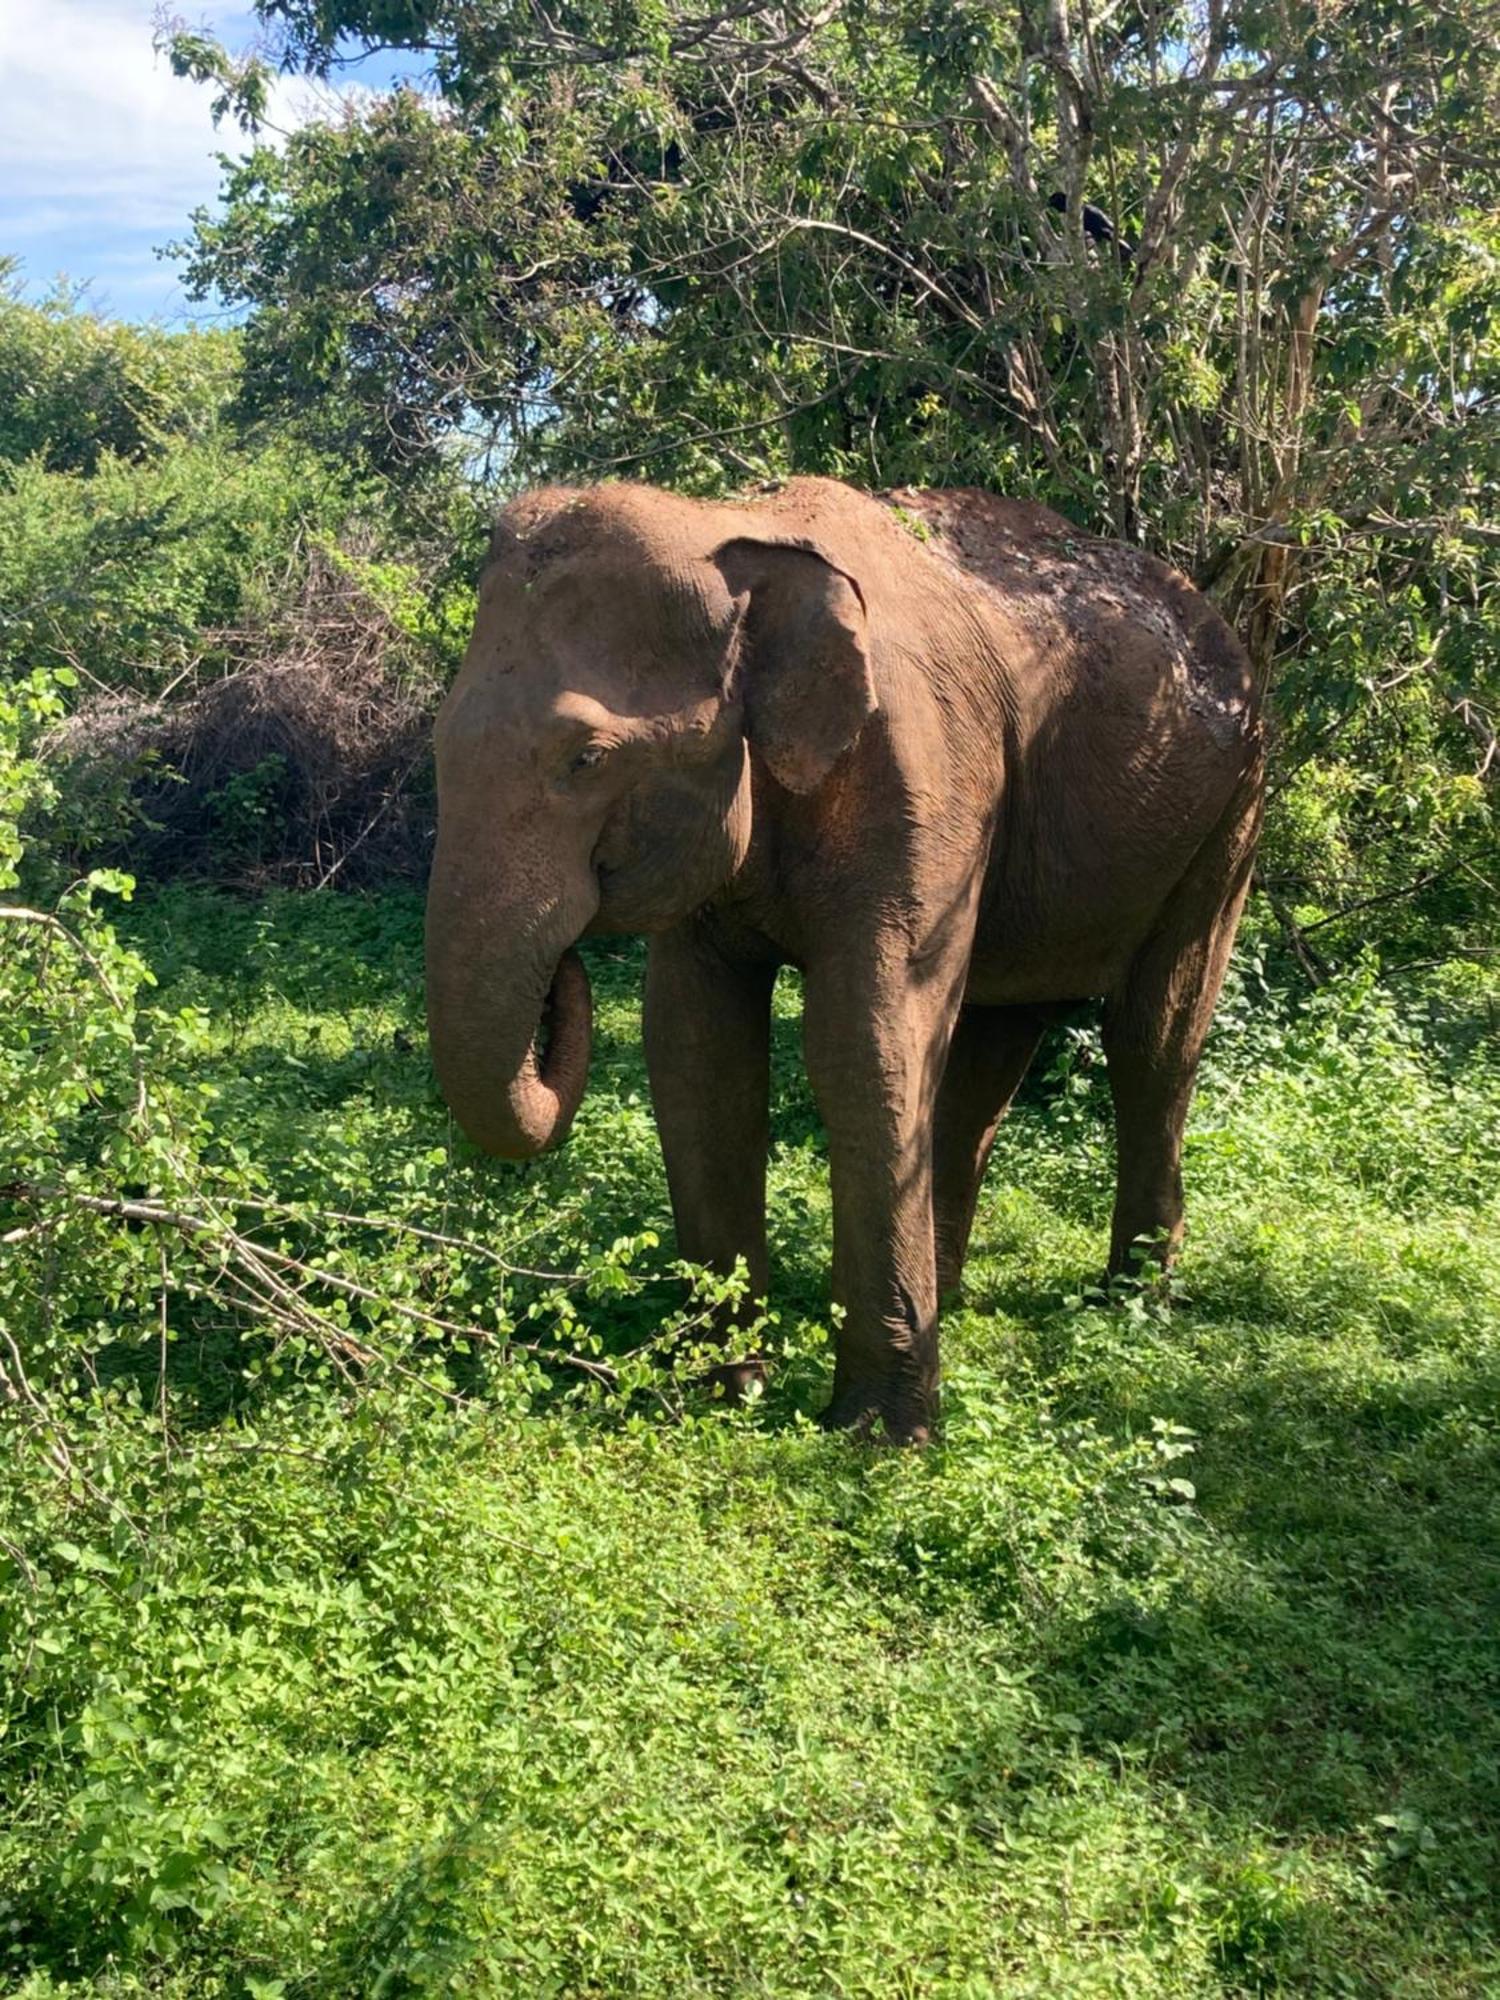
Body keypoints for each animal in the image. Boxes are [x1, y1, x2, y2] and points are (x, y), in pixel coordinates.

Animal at [426, 472, 1272, 1440]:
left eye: (587, 758)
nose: (562, 976)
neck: (737, 532)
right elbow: (696, 1052)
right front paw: (724, 1391)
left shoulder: (921, 773)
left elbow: (864, 1040)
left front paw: (877, 1436)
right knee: (992, 1051)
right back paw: (956, 1296)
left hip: (1234, 808)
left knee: (1155, 1037)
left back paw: (1130, 1301)